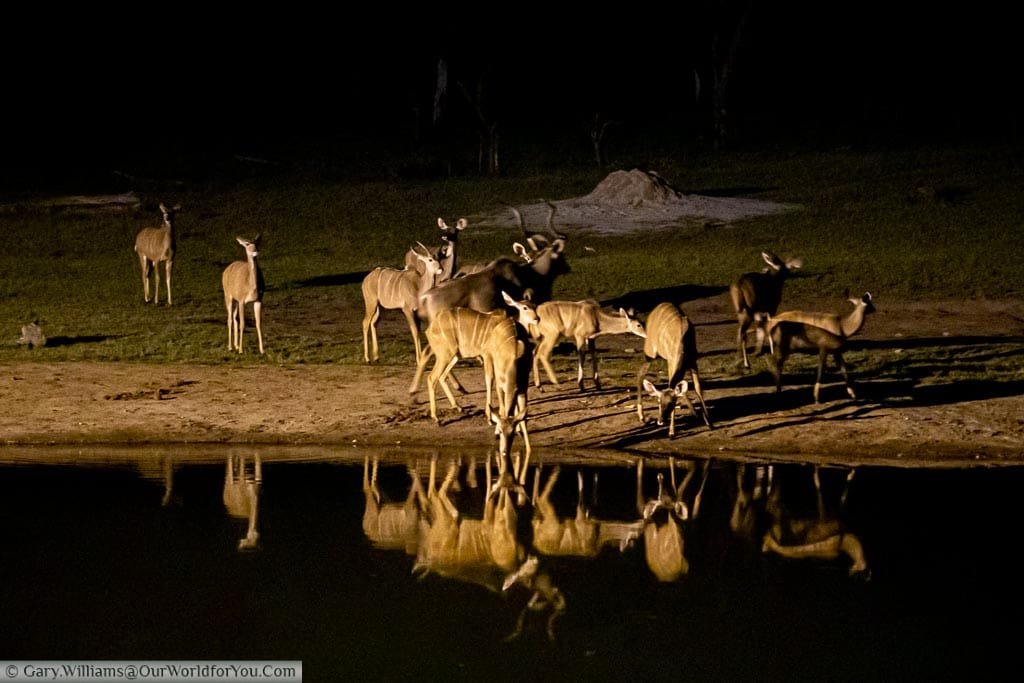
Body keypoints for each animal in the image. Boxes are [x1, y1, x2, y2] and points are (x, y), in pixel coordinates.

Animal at [638, 303, 712, 438]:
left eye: (672, 403)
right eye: (658, 401)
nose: (660, 421)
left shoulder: (693, 360)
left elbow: (697, 388)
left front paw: (709, 423)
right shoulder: (671, 360)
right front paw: (671, 432)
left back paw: (695, 413)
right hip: (650, 350)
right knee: (640, 374)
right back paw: (642, 417)